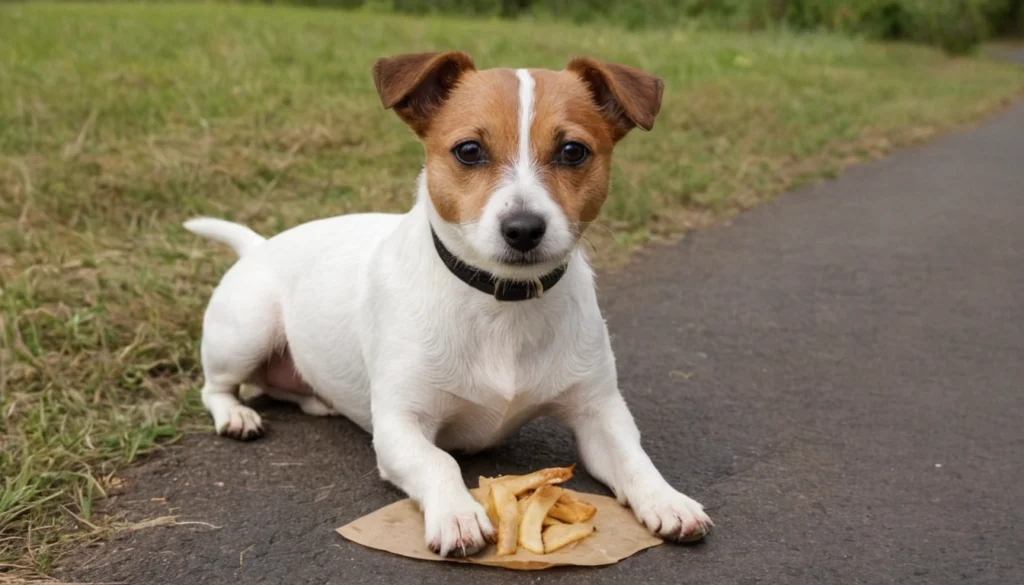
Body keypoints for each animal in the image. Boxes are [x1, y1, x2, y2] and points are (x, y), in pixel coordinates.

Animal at [184, 51, 712, 557]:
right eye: (469, 151)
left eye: (573, 151)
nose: (523, 229)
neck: (503, 304)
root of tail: (258, 245)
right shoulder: (400, 427)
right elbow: (439, 461)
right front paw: (458, 514)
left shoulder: (599, 412)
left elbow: (633, 458)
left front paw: (667, 499)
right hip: (247, 332)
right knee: (215, 387)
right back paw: (236, 416)